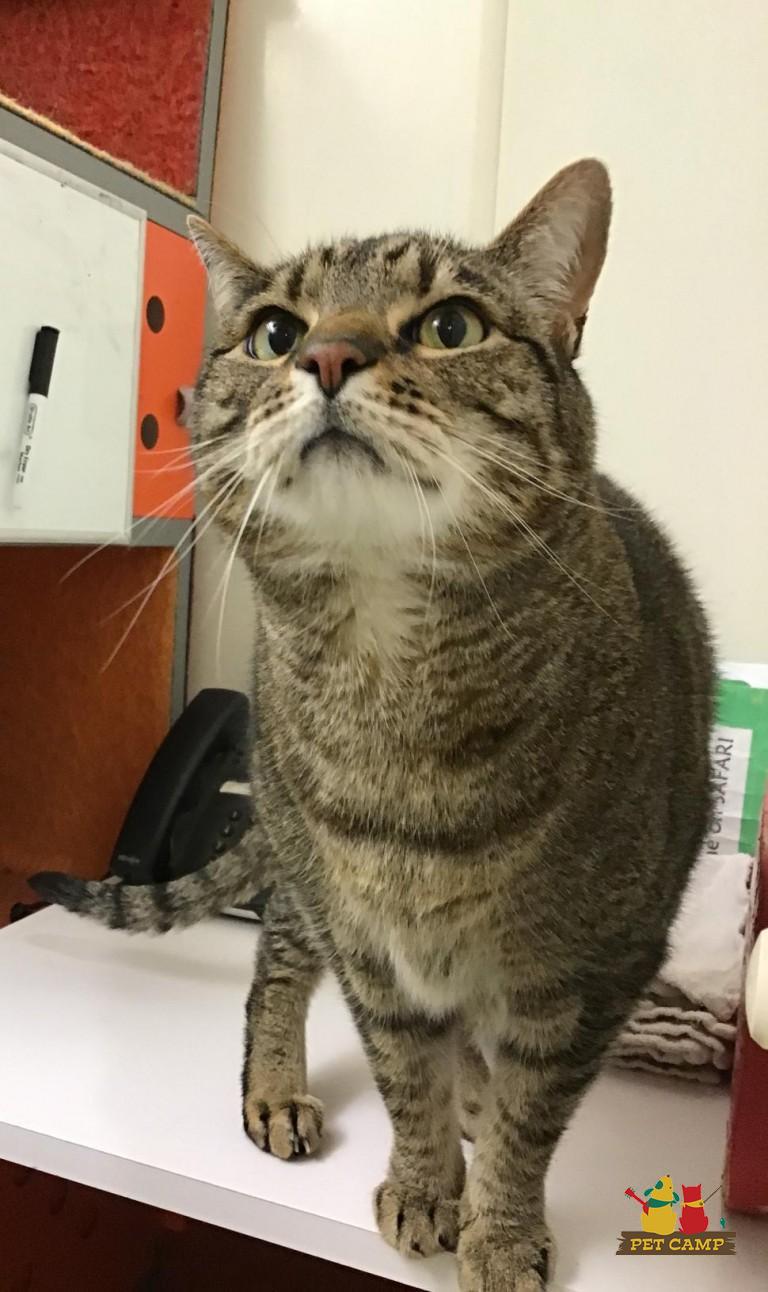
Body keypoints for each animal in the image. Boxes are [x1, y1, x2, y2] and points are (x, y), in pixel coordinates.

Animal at [32, 159, 714, 1291]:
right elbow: (406, 1078)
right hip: (298, 859)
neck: (391, 688)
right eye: (273, 331)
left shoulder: (587, 967)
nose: (327, 353)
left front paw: (500, 1227)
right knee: (276, 963)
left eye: (450, 325)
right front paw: (429, 1187)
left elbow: (532, 1113)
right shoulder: (371, 952)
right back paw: (277, 1085)